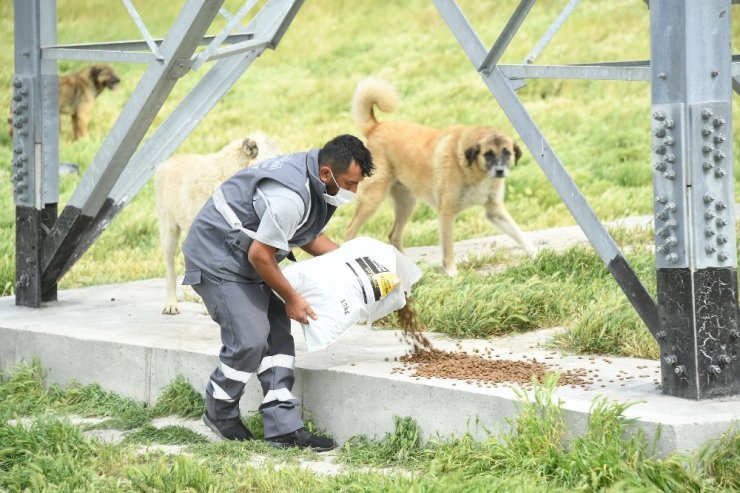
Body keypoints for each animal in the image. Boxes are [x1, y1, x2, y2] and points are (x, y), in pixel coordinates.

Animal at [344, 79, 536, 274]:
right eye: (488, 154)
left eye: (507, 153)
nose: (500, 171)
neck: (473, 170)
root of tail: (376, 127)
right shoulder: (446, 213)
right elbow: (448, 247)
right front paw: (451, 272)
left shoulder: (495, 211)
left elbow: (519, 233)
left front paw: (535, 254)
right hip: (373, 198)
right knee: (350, 230)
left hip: (407, 204)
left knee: (394, 235)